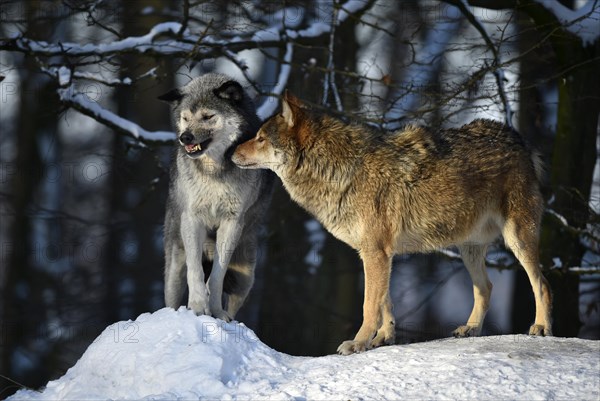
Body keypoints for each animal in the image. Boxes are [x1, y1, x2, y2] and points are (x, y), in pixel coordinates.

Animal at [158, 72, 274, 322]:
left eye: (207, 116)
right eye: (185, 118)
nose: (185, 137)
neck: (214, 170)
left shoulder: (232, 222)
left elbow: (217, 276)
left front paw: (215, 312)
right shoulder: (193, 219)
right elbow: (196, 271)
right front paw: (197, 307)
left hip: (245, 278)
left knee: (232, 301)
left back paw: (226, 317)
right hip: (174, 269)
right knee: (173, 296)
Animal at [233, 91, 552, 354]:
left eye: (260, 138)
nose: (231, 152)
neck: (342, 169)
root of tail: (518, 138)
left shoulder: (376, 252)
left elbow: (369, 305)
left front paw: (358, 343)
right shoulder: (376, 253)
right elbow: (385, 302)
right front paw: (383, 339)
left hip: (517, 238)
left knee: (542, 283)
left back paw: (541, 327)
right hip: (468, 249)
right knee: (486, 288)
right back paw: (470, 329)